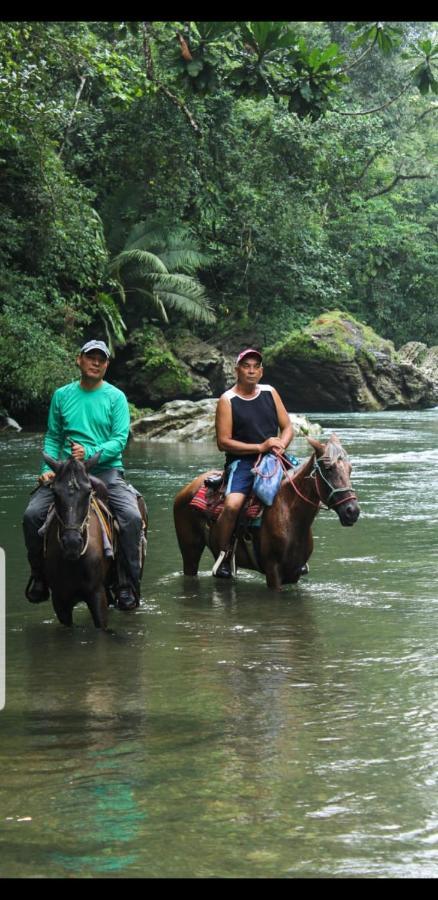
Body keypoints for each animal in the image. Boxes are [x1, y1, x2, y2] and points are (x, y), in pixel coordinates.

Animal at [173, 434, 362, 592]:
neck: (290, 514)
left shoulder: (294, 572)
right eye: (328, 469)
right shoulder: (273, 571)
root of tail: (185, 490)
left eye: (350, 469)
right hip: (190, 550)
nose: (352, 511)